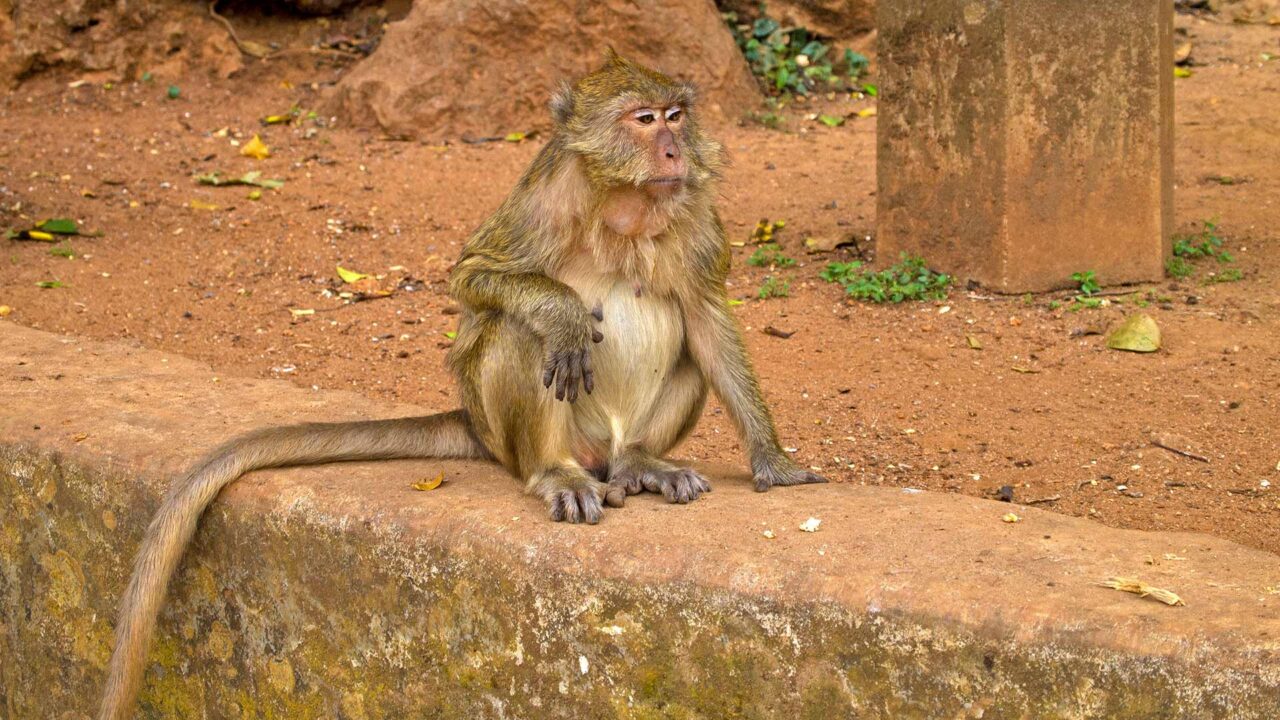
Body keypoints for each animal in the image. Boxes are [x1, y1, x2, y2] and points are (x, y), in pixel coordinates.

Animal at [97, 51, 819, 717]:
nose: (673, 149)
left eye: (676, 115)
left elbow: (707, 318)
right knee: (519, 335)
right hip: (512, 431)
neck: (625, 206)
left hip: (608, 435)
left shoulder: (695, 214)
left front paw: (773, 460)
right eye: (643, 120)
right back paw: (555, 469)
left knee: (683, 352)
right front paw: (560, 312)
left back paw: (640, 461)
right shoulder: (542, 198)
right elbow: (475, 277)